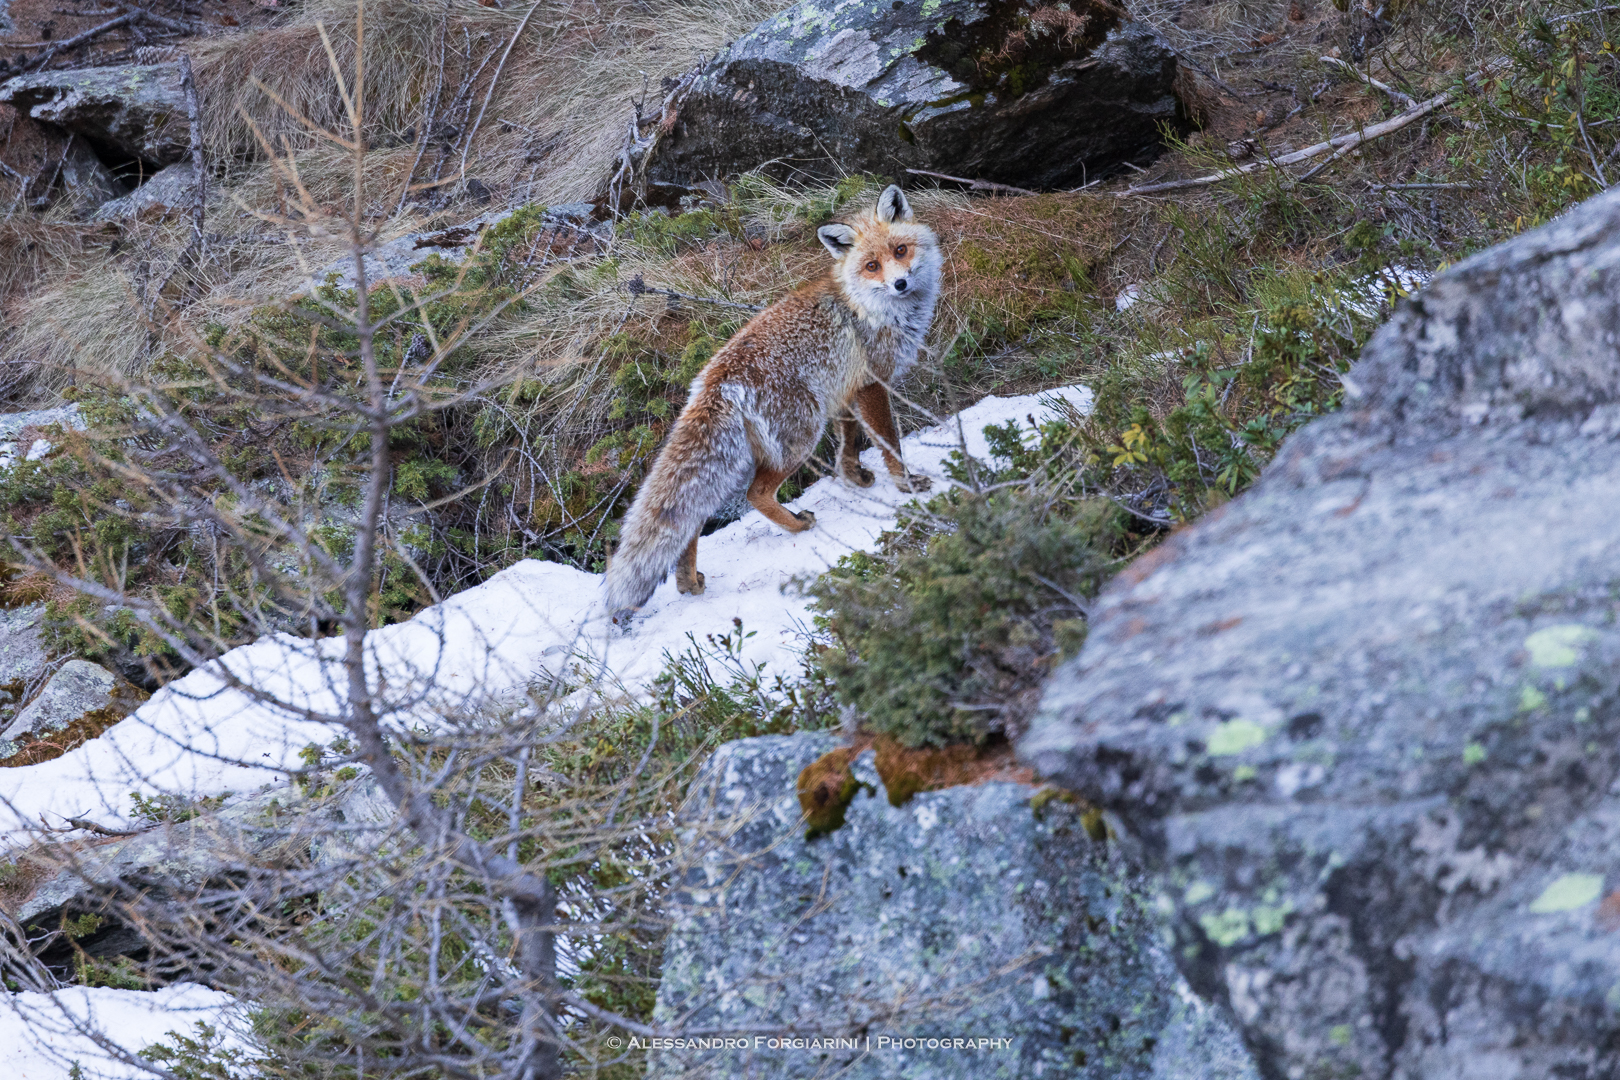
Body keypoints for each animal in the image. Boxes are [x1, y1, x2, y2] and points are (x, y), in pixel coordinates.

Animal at [602, 184, 941, 624]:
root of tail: (715, 378)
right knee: (755, 495)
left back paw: (688, 581)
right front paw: (906, 485)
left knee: (692, 519)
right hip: (800, 436)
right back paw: (796, 525)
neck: (868, 308)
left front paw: (854, 477)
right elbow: (889, 444)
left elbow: (849, 443)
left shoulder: (844, 391)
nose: (900, 283)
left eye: (900, 250)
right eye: (871, 265)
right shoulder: (872, 384)